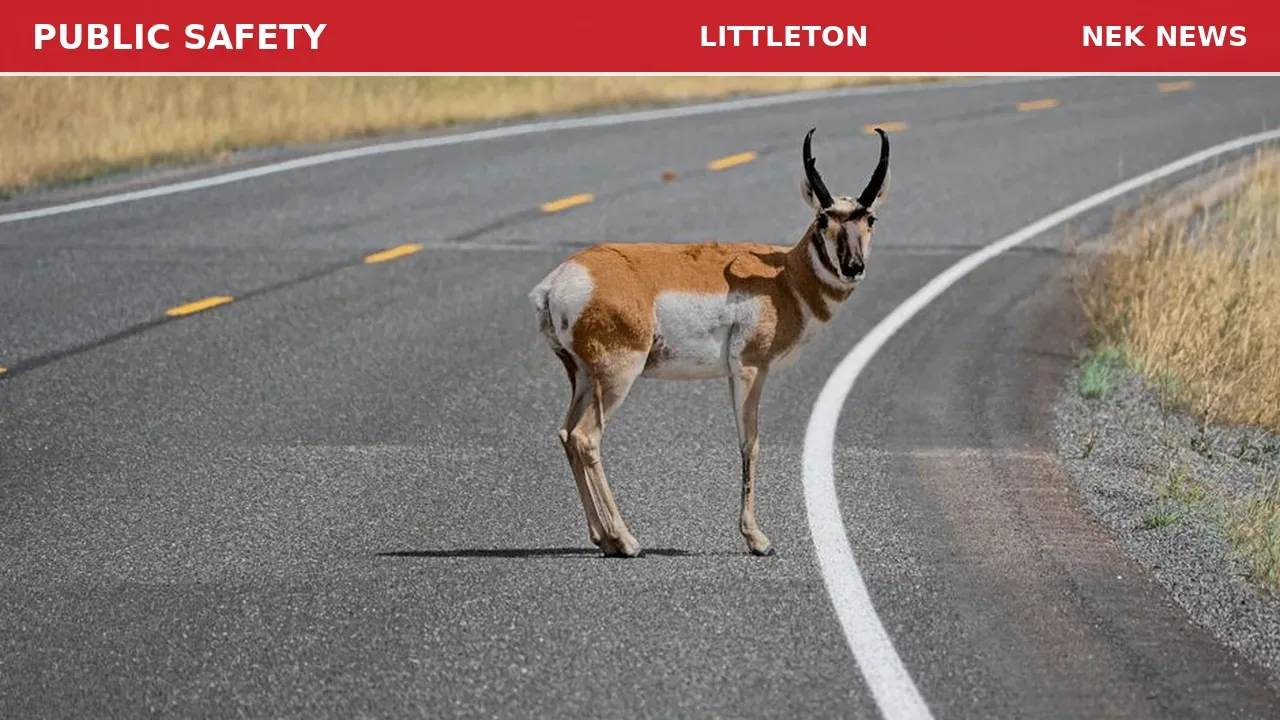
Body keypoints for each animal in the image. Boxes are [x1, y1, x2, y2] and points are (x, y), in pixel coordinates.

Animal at [528, 127, 890, 558]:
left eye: (869, 218)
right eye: (823, 219)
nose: (853, 267)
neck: (784, 277)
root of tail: (558, 282)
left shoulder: (735, 373)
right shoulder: (751, 368)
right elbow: (750, 443)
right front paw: (758, 540)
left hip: (582, 377)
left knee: (566, 434)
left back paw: (603, 538)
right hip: (616, 378)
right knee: (586, 438)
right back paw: (626, 541)